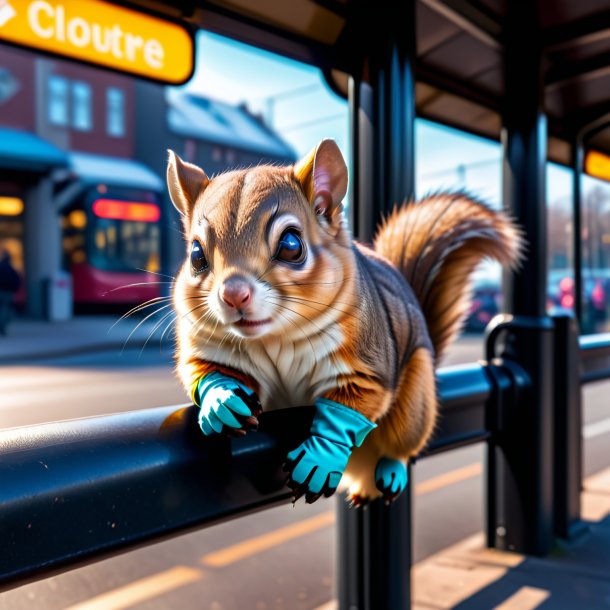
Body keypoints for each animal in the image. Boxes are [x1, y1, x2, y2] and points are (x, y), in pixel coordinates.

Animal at [167, 138, 524, 504]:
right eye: (196, 254)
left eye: (291, 244)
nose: (234, 295)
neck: (273, 338)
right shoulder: (204, 347)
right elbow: (202, 371)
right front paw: (221, 400)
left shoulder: (367, 365)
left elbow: (346, 410)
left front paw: (319, 457)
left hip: (415, 405)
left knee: (400, 444)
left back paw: (390, 470)